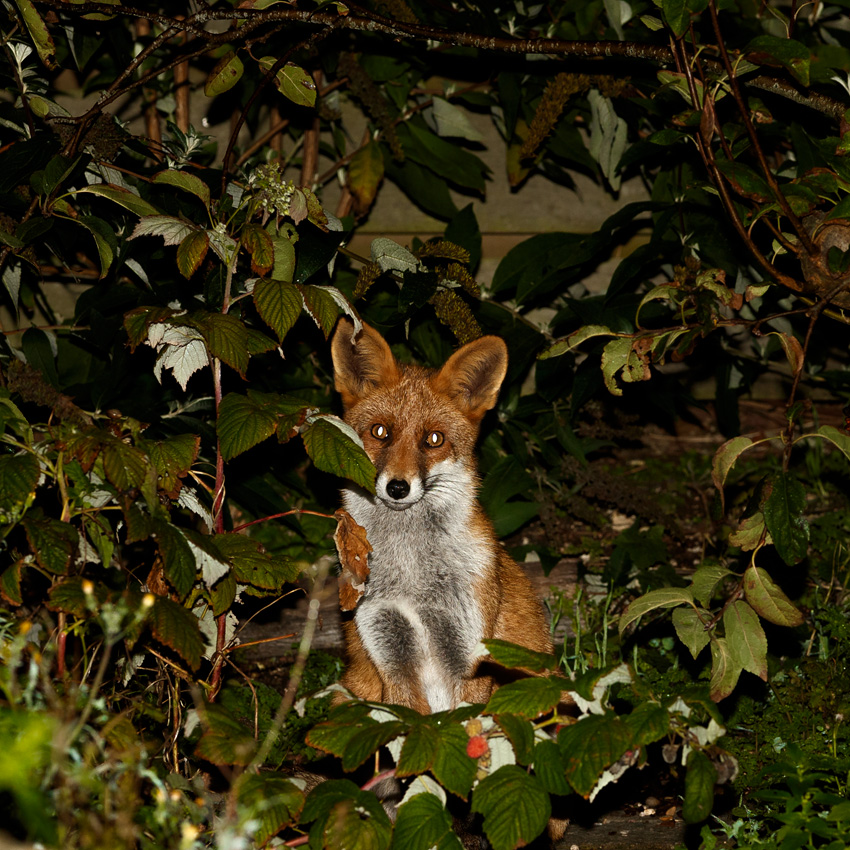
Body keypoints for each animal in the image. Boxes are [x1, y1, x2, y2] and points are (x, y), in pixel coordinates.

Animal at [330, 317, 553, 714]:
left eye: (434, 439)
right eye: (380, 432)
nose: (398, 488)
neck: (412, 578)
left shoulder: (471, 654)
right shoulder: (390, 653)